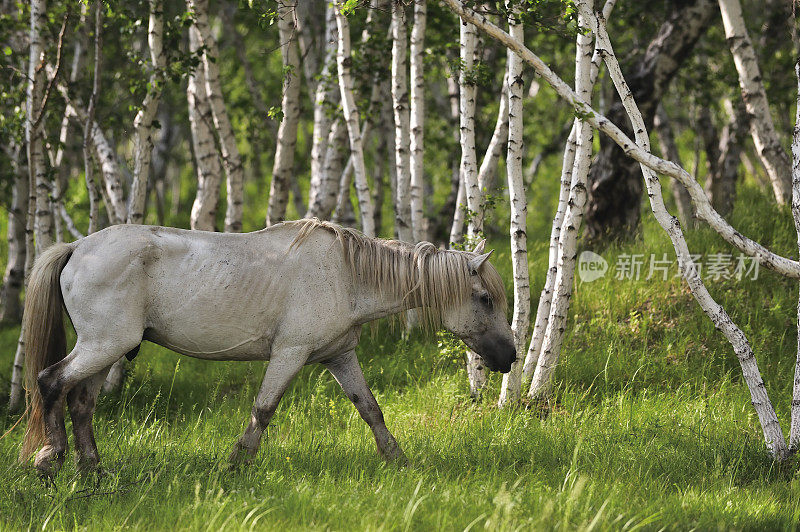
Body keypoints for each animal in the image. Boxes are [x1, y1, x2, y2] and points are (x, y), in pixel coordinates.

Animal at [20, 218, 520, 476]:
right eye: (486, 299)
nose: (510, 357)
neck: (346, 275)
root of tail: (77, 247)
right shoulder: (290, 355)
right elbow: (264, 409)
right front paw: (236, 465)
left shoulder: (339, 356)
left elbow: (370, 409)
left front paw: (398, 460)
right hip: (104, 346)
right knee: (51, 382)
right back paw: (51, 460)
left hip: (106, 351)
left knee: (81, 403)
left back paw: (94, 470)